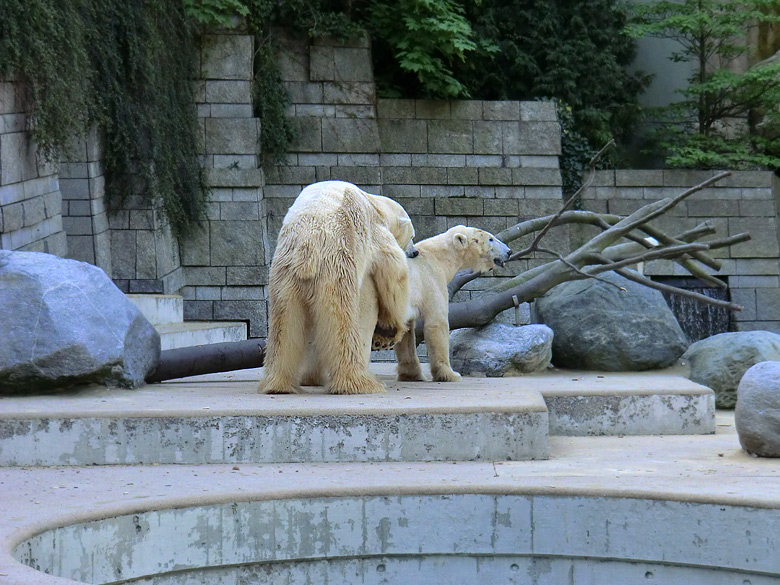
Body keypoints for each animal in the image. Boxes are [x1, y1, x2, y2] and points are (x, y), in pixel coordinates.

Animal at [260, 180, 418, 394]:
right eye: (412, 235)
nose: (415, 251)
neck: (374, 203)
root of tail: (307, 249)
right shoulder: (376, 231)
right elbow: (394, 274)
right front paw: (393, 329)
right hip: (337, 267)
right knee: (343, 322)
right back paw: (359, 382)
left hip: (284, 278)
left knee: (284, 326)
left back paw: (278, 384)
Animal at [378, 225, 512, 384]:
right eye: (491, 238)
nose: (509, 251)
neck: (440, 257)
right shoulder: (430, 279)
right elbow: (437, 322)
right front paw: (450, 374)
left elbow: (406, 332)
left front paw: (412, 375)